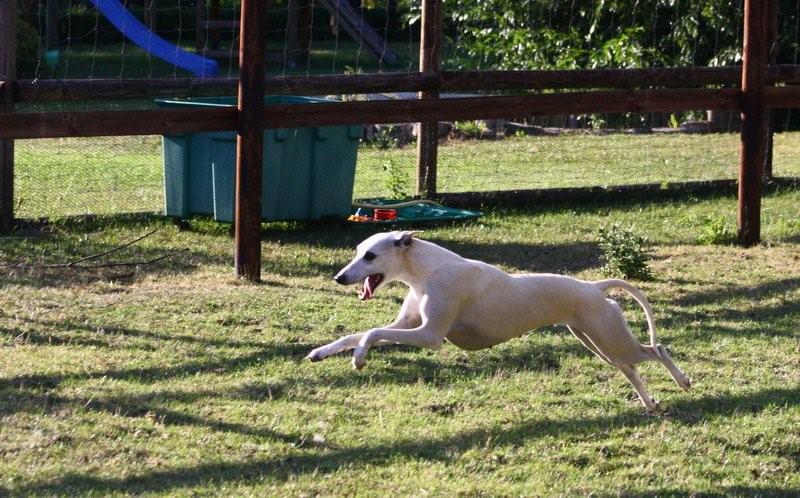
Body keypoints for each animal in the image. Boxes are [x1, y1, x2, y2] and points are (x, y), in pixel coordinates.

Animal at [306, 230, 688, 408]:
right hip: (599, 343)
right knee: (631, 368)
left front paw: (359, 359)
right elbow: (356, 334)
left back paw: (683, 381)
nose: (339, 278)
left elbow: (371, 332)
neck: (426, 270)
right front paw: (321, 352)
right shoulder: (407, 325)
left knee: (657, 351)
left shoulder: (429, 335)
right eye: (358, 252)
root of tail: (594, 287)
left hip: (610, 338)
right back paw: (650, 403)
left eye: (370, 256)